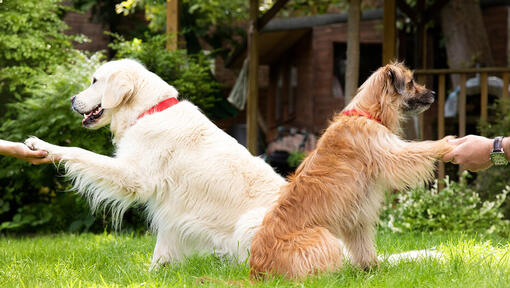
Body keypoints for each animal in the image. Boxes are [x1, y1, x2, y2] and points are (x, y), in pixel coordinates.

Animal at [23, 59, 284, 268]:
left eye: (95, 81)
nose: (72, 99)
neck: (149, 111)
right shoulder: (172, 208)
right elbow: (163, 247)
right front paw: (153, 274)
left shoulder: (133, 176)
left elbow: (79, 152)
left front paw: (42, 144)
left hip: (250, 223)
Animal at [250, 62, 454, 278]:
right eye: (411, 83)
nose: (434, 93)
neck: (368, 113)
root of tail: (258, 271)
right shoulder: (390, 153)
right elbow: (419, 149)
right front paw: (444, 144)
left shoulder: (357, 216)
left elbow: (363, 246)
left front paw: (372, 269)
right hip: (324, 238)